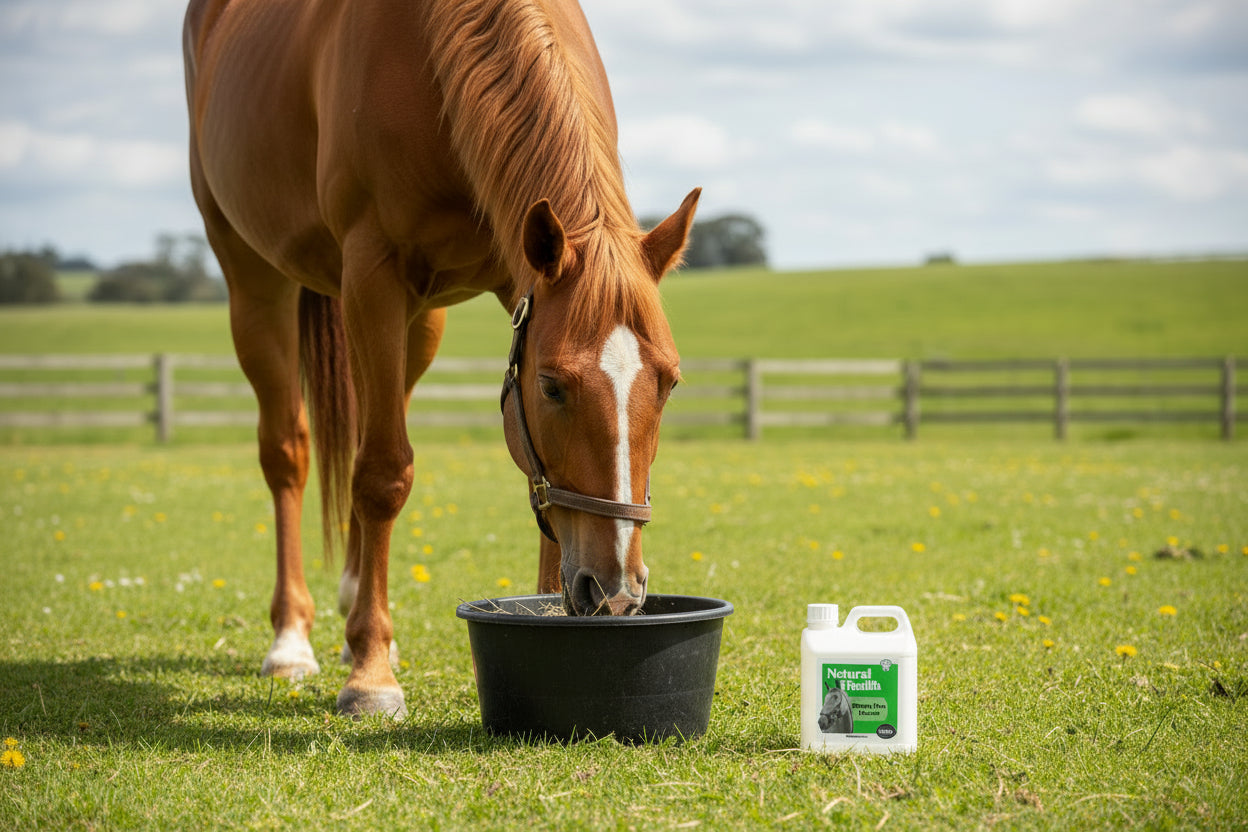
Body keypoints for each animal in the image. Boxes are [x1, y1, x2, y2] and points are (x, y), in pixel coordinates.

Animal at [183, 0, 700, 718]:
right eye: (552, 386)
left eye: (669, 382)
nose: (616, 588)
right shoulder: (372, 272)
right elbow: (382, 475)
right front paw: (371, 676)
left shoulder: (516, 277)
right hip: (255, 279)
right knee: (289, 452)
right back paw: (293, 640)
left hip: (418, 321)